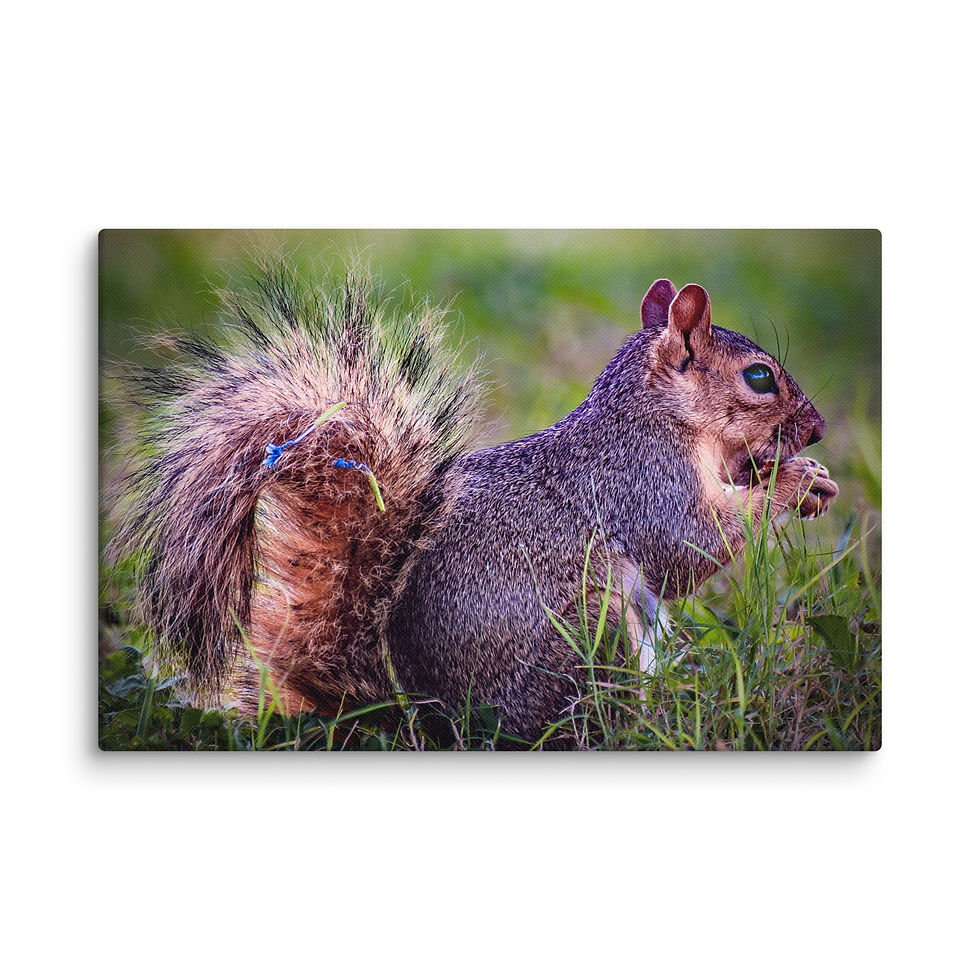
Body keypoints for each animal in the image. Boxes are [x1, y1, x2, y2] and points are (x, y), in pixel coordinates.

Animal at [110, 264, 838, 744]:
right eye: (759, 378)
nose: (818, 429)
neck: (657, 415)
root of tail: (424, 715)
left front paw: (807, 477)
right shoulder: (642, 483)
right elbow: (690, 545)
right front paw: (794, 482)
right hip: (589, 629)